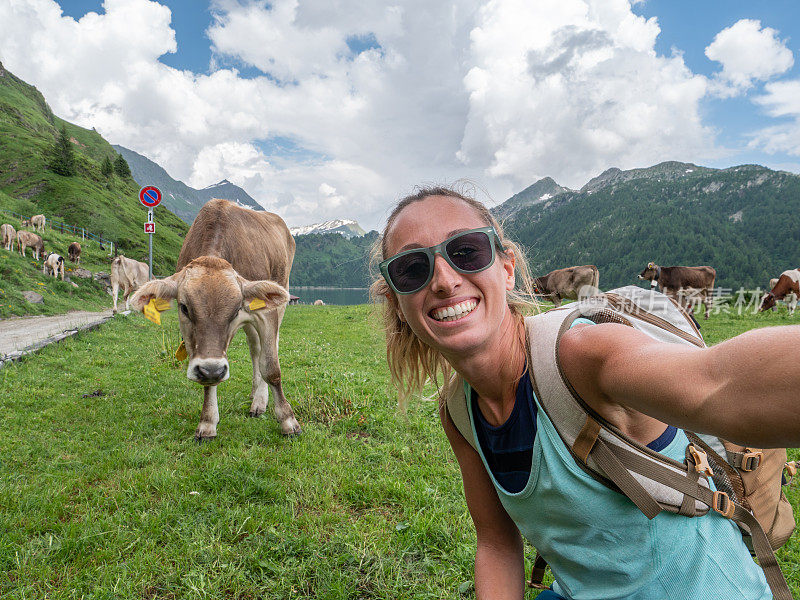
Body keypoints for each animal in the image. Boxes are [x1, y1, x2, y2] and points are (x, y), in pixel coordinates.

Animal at [131, 198, 296, 440]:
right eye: (184, 308)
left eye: (236, 310)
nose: (213, 369)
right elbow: (208, 381)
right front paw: (208, 421)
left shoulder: (266, 314)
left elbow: (271, 368)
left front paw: (288, 420)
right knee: (254, 349)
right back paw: (257, 400)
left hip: (280, 298)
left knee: (267, 348)